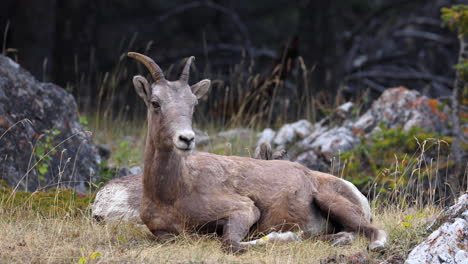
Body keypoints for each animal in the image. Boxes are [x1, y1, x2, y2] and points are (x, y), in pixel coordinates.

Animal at [104, 51, 386, 252]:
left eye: (193, 104)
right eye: (155, 103)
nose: (186, 139)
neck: (173, 192)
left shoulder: (243, 210)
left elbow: (231, 244)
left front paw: (287, 236)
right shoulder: (164, 234)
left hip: (333, 202)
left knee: (374, 230)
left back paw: (376, 246)